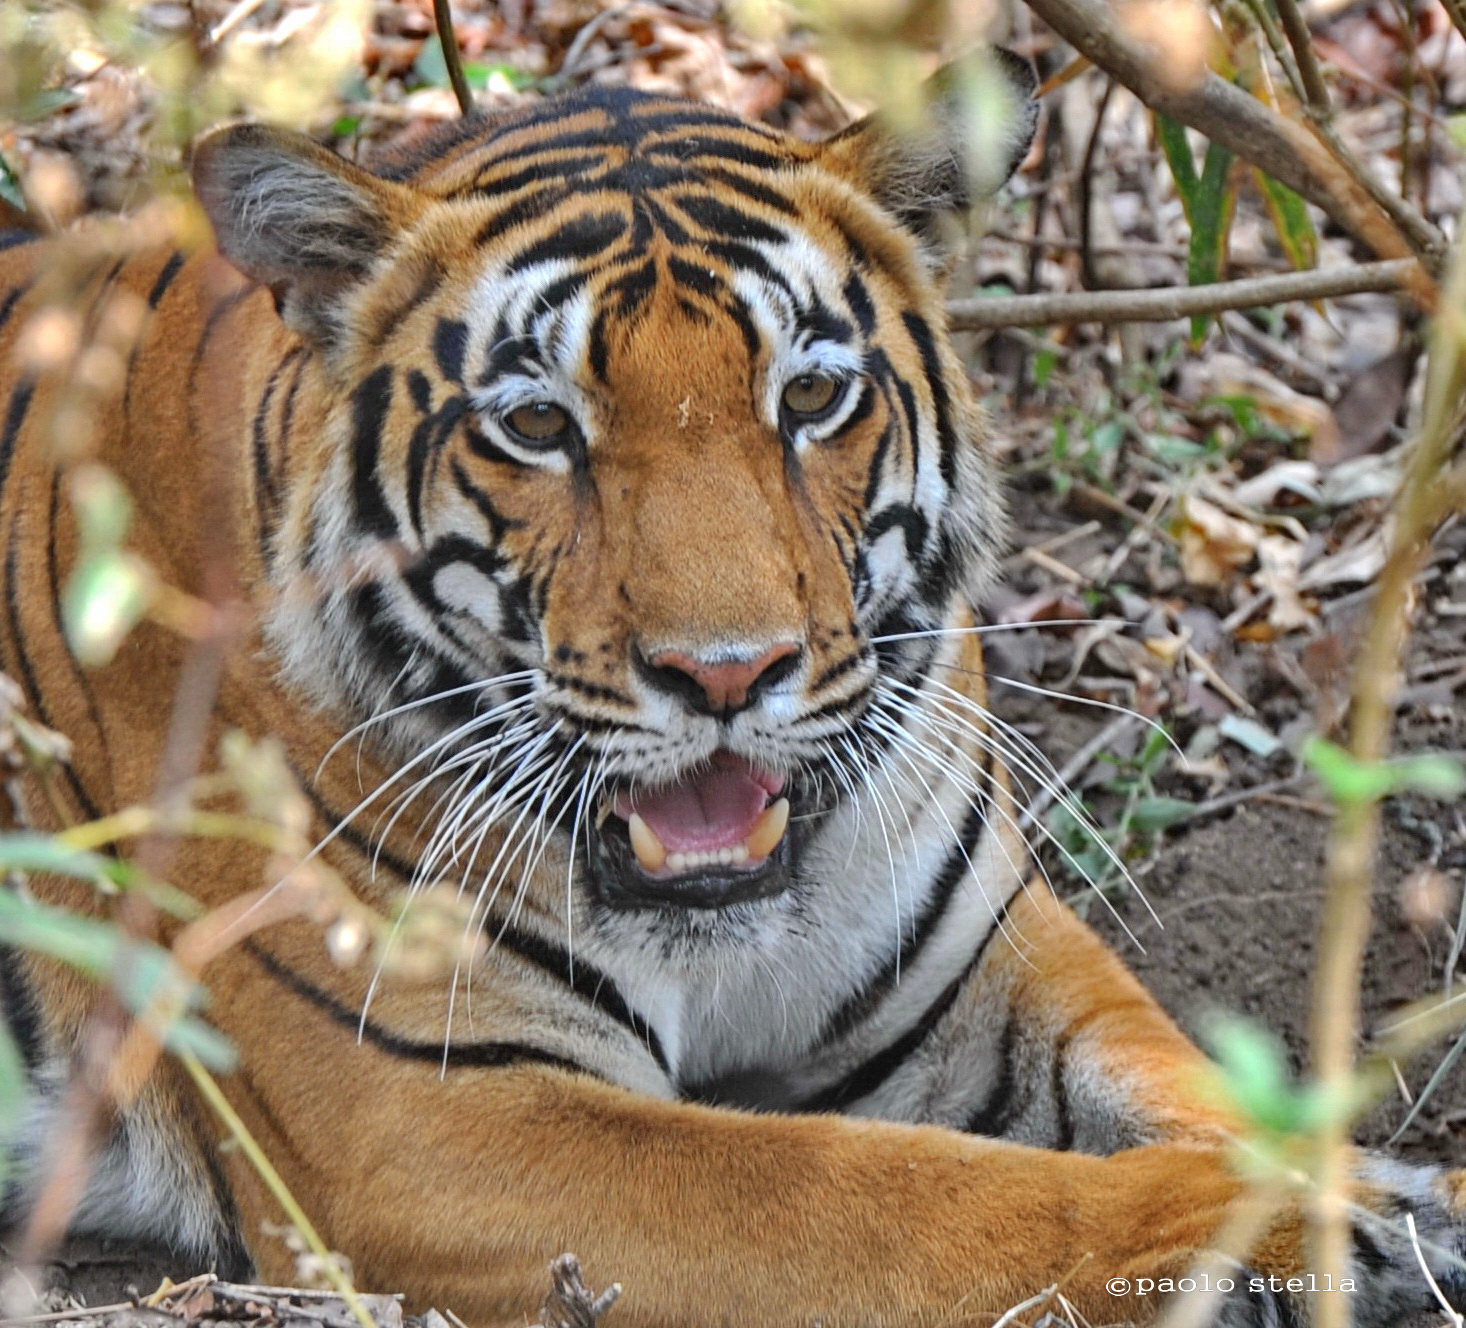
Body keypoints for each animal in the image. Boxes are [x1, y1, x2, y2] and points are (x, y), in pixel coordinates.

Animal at [0, 50, 1463, 1328]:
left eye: (809, 396)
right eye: (536, 424)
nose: (725, 673)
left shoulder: (987, 967)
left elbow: (1184, 1075)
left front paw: (1383, 1196)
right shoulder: (426, 1115)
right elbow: (882, 1191)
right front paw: (1287, 1237)